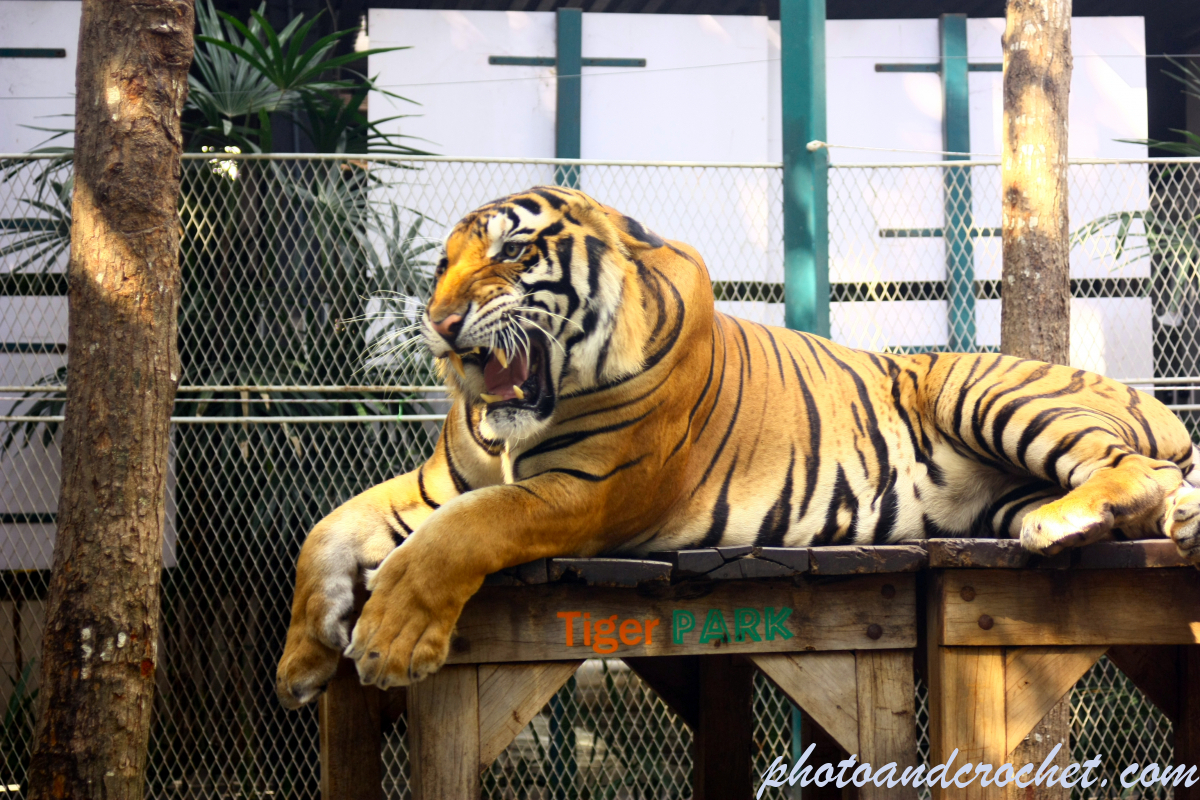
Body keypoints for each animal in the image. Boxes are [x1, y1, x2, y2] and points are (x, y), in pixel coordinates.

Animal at [275, 185, 1200, 707]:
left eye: (511, 249)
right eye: (441, 266)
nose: (439, 325)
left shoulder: (586, 491)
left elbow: (460, 536)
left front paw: (390, 643)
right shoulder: (437, 483)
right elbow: (324, 531)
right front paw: (301, 663)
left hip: (986, 392)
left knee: (1138, 468)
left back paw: (1070, 521)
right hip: (1000, 485)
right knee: (1152, 487)